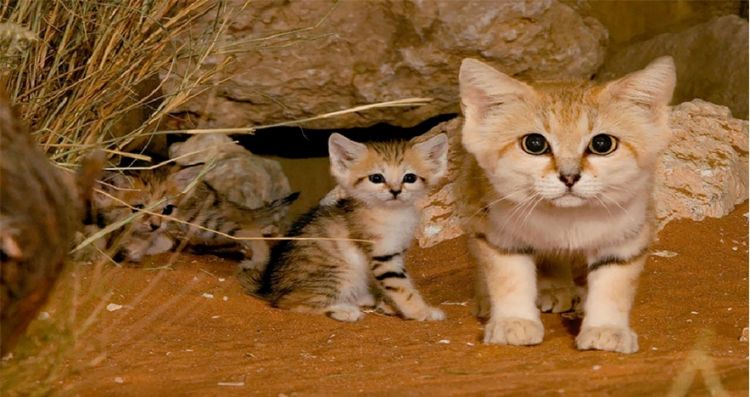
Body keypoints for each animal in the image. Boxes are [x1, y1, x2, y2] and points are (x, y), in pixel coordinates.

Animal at [241, 131, 450, 320]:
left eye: (409, 178)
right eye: (376, 178)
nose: (395, 191)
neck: (392, 213)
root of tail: (269, 289)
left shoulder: (396, 252)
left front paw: (390, 305)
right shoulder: (383, 254)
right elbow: (401, 287)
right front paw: (422, 312)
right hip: (341, 272)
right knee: (289, 302)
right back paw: (344, 310)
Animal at [462, 56, 680, 352]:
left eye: (602, 143)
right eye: (534, 143)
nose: (569, 176)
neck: (567, 219)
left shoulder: (628, 234)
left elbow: (612, 284)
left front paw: (606, 329)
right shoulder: (498, 231)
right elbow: (509, 278)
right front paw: (513, 322)